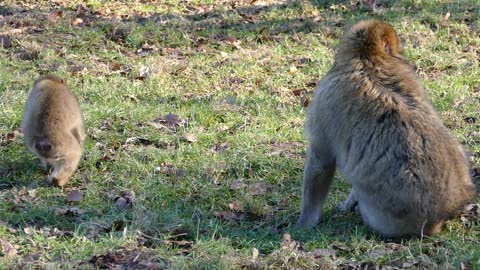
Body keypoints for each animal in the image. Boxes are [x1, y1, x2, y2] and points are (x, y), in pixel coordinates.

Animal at [296, 20, 476, 237]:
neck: (368, 61)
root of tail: (440, 217)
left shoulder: (325, 100)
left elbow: (321, 161)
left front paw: (304, 223)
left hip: (382, 216)